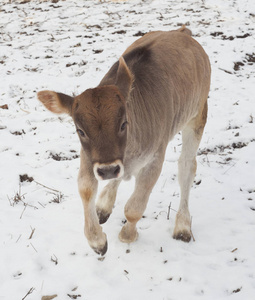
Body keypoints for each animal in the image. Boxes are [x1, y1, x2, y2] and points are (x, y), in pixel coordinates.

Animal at [37, 26, 209, 255]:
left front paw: (128, 234)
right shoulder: (90, 156)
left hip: (197, 115)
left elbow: (134, 207)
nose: (108, 169)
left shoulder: (155, 156)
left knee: (187, 167)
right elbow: (86, 188)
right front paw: (97, 240)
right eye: (80, 131)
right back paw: (104, 205)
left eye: (123, 124)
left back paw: (182, 225)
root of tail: (181, 31)